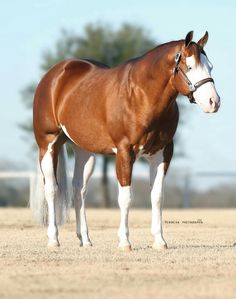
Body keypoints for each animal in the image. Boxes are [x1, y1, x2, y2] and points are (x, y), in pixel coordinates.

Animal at [31, 31, 219, 251]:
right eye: (189, 67)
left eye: (210, 66)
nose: (214, 102)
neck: (141, 96)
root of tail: (55, 74)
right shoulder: (124, 152)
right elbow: (125, 198)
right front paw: (125, 242)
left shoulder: (162, 153)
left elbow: (157, 196)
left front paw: (159, 241)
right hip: (48, 144)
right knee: (52, 189)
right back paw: (53, 239)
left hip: (85, 152)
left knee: (79, 189)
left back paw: (85, 239)